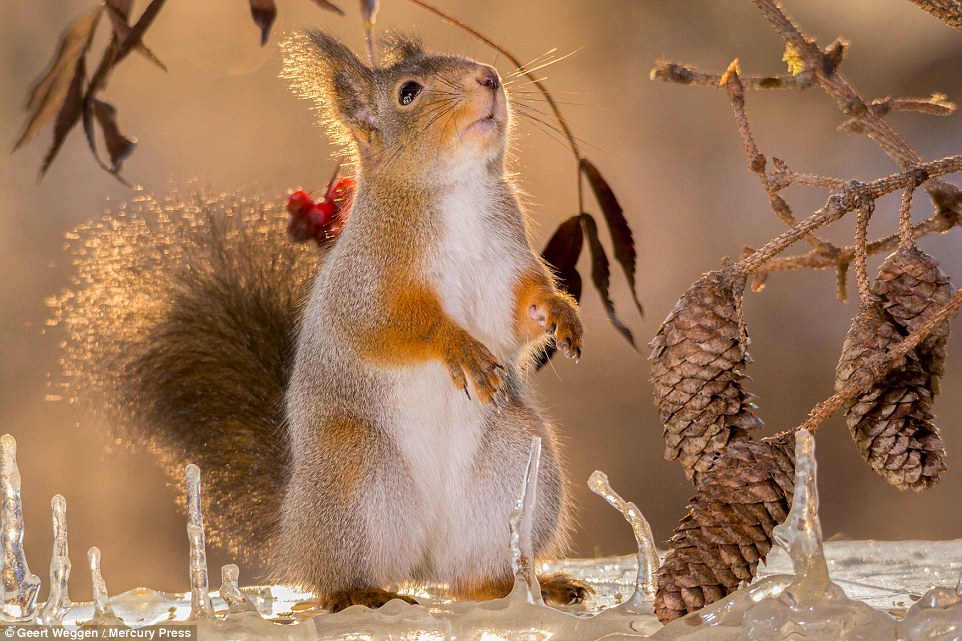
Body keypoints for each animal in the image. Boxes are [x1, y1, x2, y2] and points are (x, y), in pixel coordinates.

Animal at [60, 30, 588, 608]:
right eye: (408, 93)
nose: (489, 77)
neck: (458, 192)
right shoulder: (368, 285)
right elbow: (397, 326)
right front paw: (459, 346)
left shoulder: (505, 264)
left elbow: (521, 315)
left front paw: (561, 312)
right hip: (351, 475)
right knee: (337, 578)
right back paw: (362, 593)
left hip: (516, 465)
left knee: (473, 577)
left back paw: (527, 585)